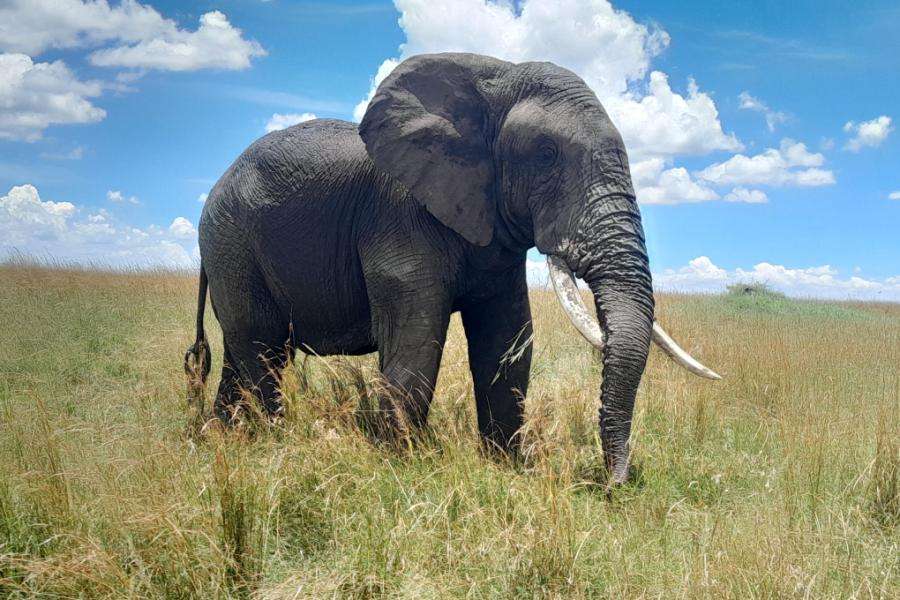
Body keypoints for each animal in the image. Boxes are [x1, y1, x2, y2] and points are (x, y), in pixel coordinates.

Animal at [184, 52, 720, 484]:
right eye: (546, 156)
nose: (613, 484)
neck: (493, 80)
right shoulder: (401, 214)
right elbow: (417, 344)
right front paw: (402, 468)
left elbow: (507, 343)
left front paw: (505, 469)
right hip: (233, 242)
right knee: (262, 349)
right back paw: (273, 445)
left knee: (243, 354)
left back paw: (223, 439)